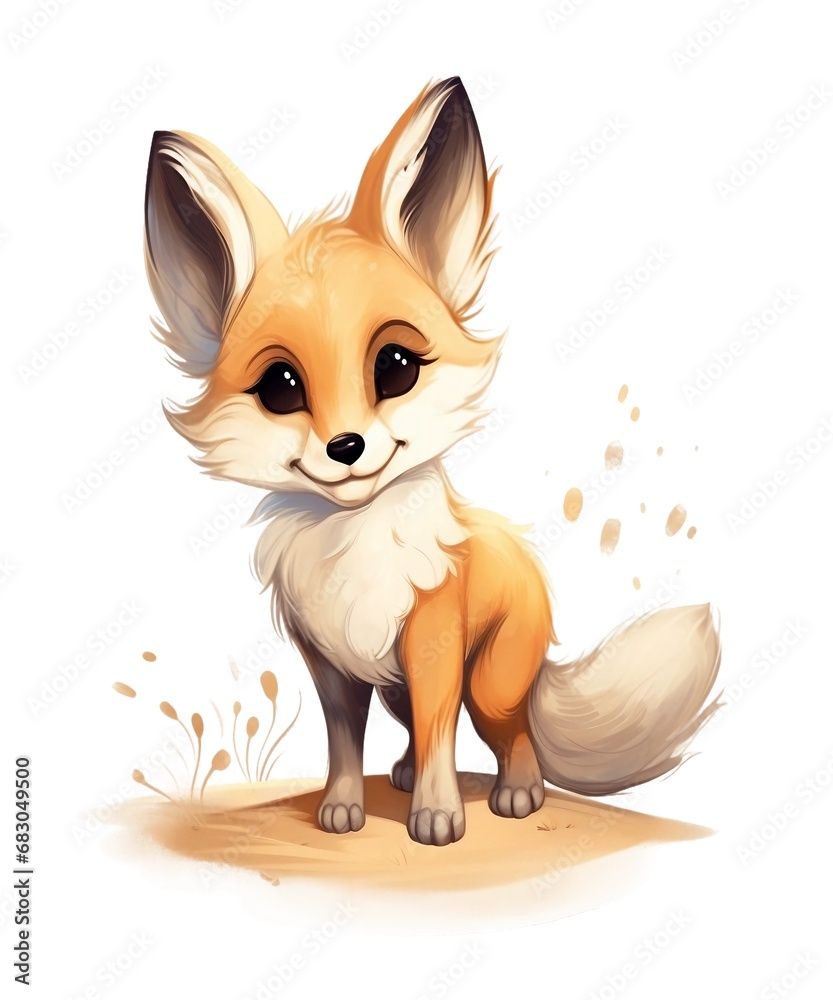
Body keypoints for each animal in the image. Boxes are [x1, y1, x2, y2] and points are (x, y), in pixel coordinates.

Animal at [143, 77, 721, 847]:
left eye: (394, 368)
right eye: (280, 387)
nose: (347, 448)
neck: (355, 549)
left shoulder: (434, 641)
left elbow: (444, 732)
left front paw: (439, 817)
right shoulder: (332, 666)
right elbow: (345, 744)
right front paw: (343, 808)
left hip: (490, 683)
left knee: (510, 734)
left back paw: (516, 793)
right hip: (396, 687)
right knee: (419, 731)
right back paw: (406, 776)